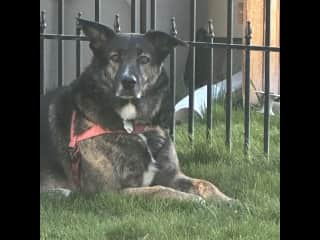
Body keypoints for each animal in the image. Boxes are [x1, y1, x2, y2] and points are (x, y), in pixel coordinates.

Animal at [40, 18, 231, 202]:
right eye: (115, 57)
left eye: (144, 59)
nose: (128, 82)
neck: (134, 125)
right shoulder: (110, 192)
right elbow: (158, 190)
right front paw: (191, 199)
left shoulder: (172, 175)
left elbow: (205, 183)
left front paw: (228, 201)